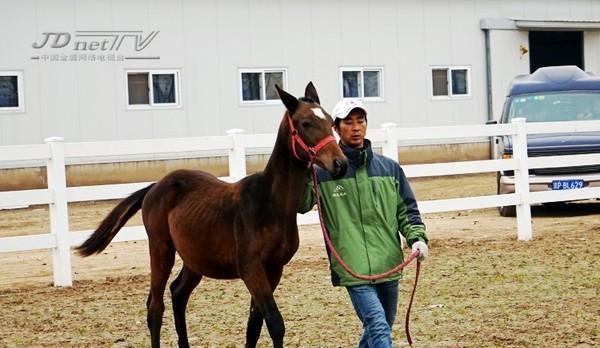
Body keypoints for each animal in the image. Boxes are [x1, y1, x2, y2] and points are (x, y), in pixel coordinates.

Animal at [76, 83, 346, 346]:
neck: (270, 204)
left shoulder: (273, 269)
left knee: (178, 293)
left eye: (329, 120)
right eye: (305, 123)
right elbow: (274, 323)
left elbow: (254, 325)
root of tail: (155, 186)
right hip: (161, 249)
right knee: (155, 307)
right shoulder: (251, 269)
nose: (340, 164)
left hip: (194, 259)